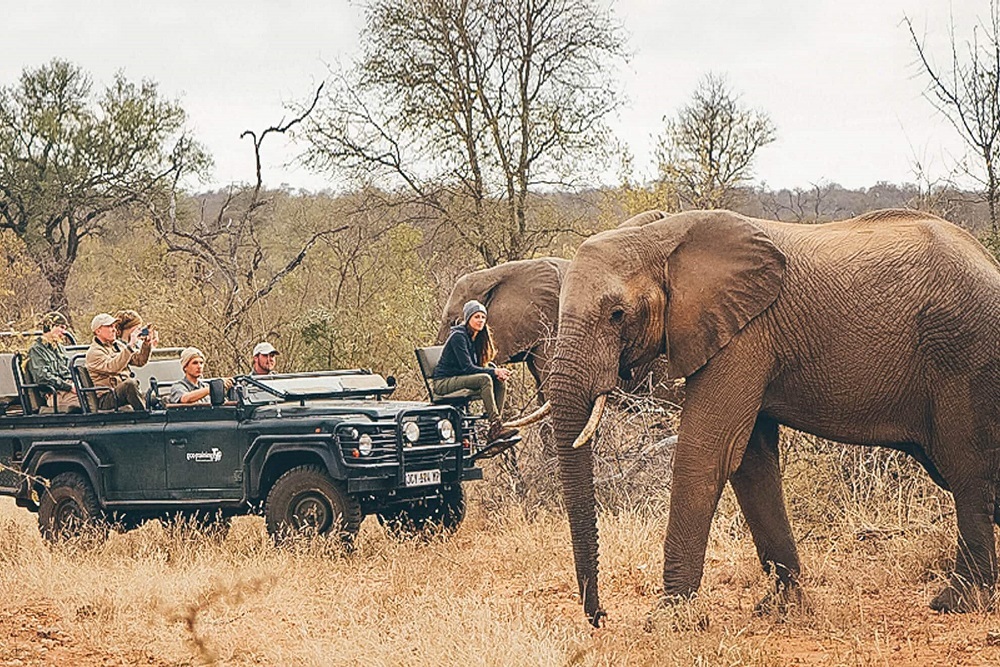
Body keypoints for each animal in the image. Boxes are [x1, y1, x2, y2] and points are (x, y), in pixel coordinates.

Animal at [548, 208, 1000, 626]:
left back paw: (956, 602)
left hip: (963, 356)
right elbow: (750, 461)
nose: (600, 616)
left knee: (966, 473)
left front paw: (668, 620)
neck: (661, 236)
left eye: (617, 315)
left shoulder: (744, 336)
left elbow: (707, 452)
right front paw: (783, 607)